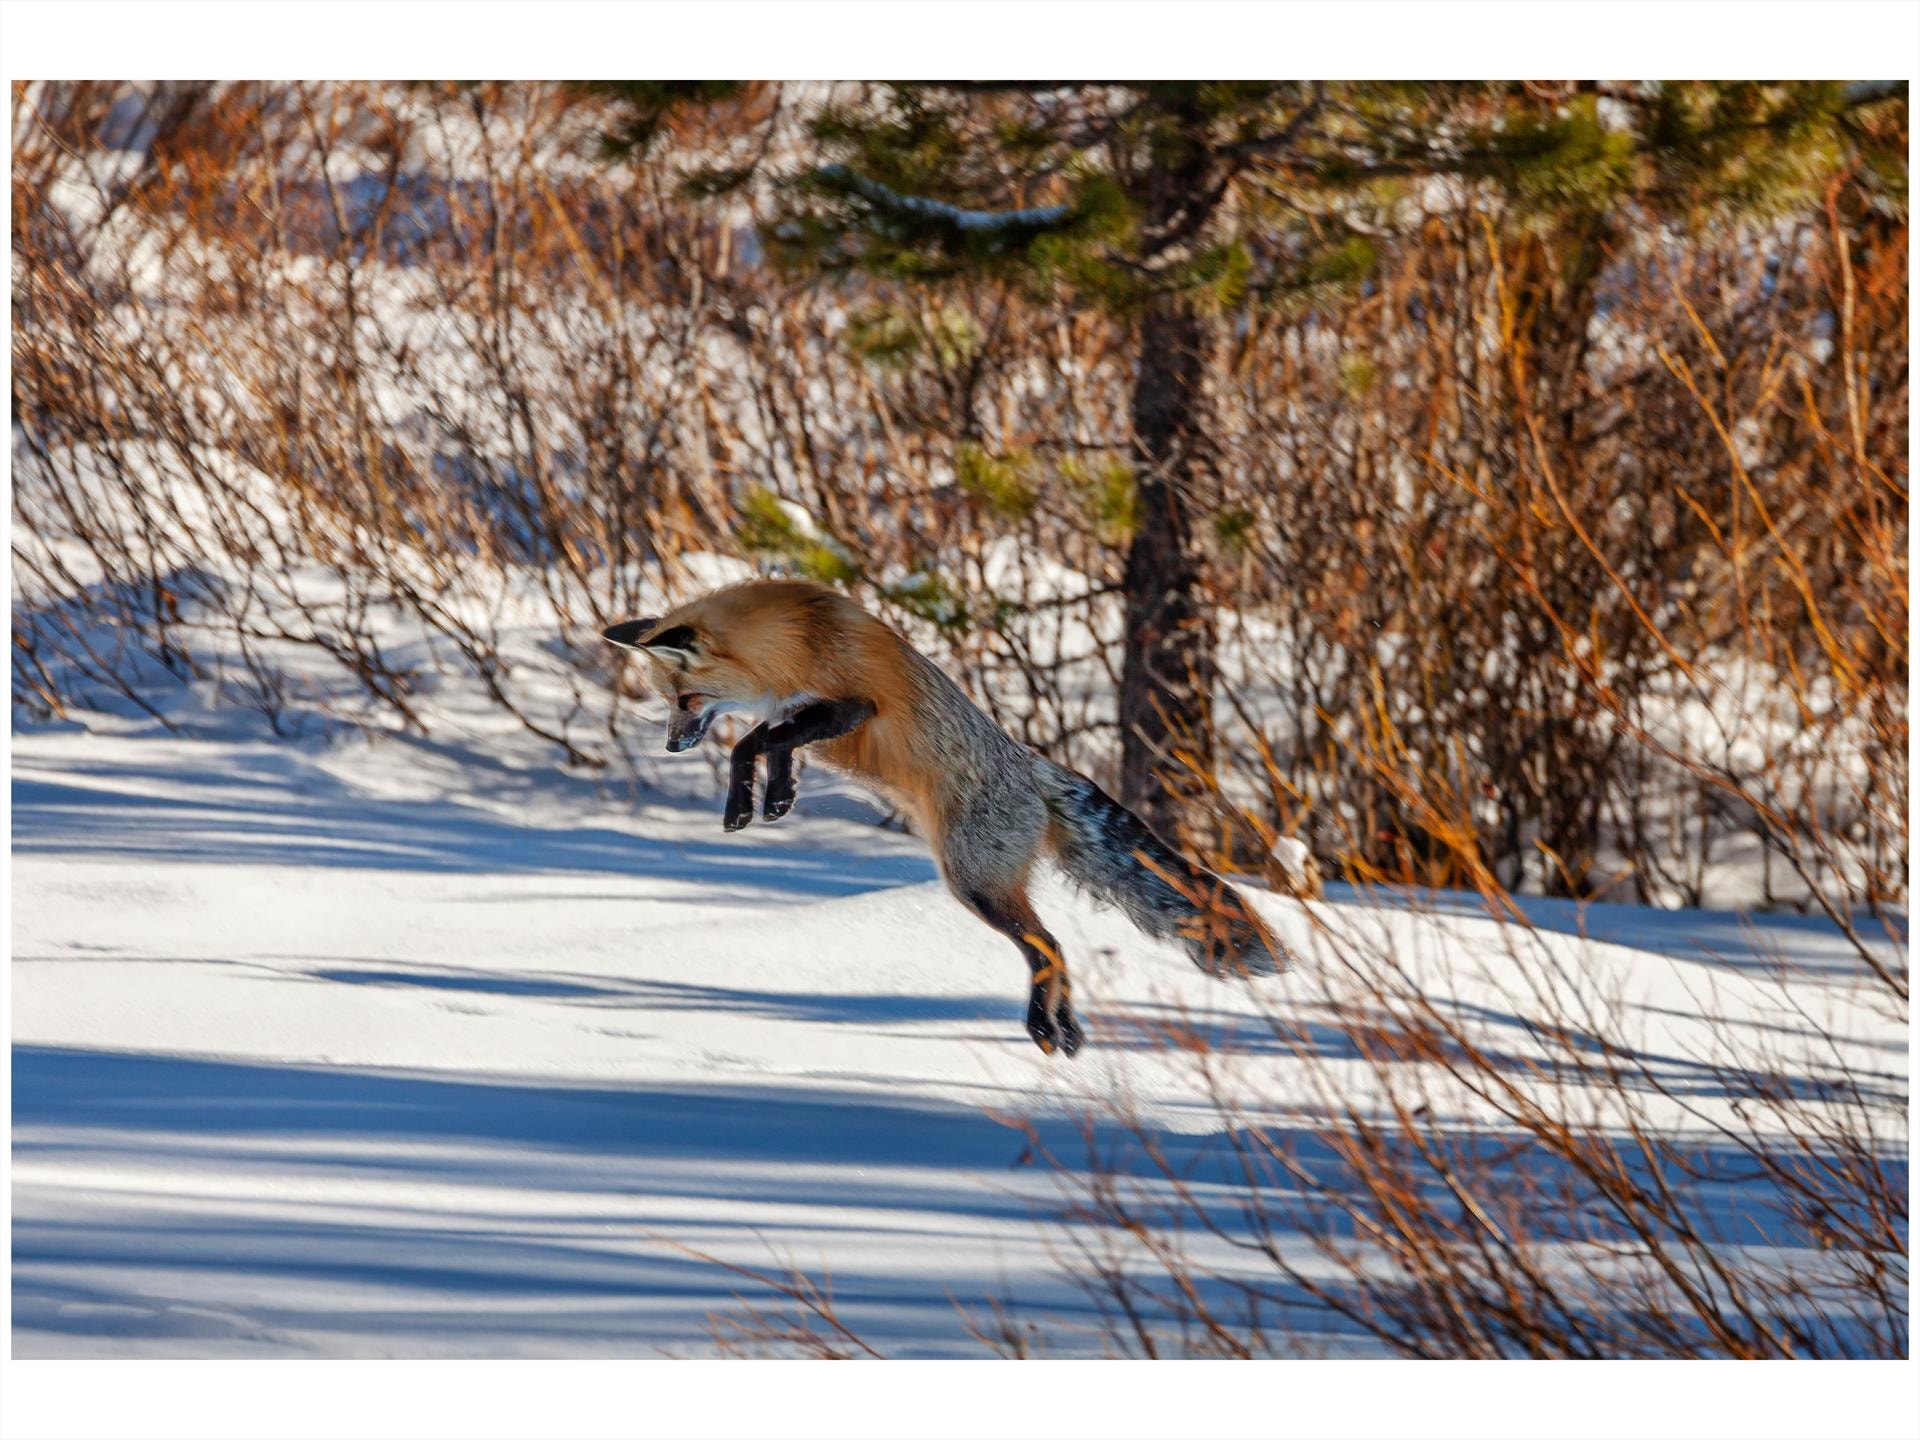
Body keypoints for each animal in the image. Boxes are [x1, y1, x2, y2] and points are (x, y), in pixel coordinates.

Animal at [603, 579, 1290, 1056]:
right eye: (667, 702)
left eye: (686, 699)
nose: (672, 747)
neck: (797, 638)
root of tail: (1031, 769)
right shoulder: (796, 712)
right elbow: (770, 745)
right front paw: (772, 799)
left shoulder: (853, 705)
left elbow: (752, 742)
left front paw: (746, 803)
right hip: (981, 884)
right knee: (1053, 947)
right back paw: (1067, 1031)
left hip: (972, 883)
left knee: (1049, 945)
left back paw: (1046, 1027)